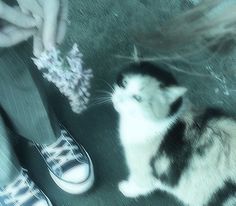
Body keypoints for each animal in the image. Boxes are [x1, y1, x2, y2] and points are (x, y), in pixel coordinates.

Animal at [112, 62, 236, 206]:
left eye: (138, 98)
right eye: (124, 83)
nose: (118, 99)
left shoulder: (144, 169)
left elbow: (141, 184)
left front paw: (126, 188)